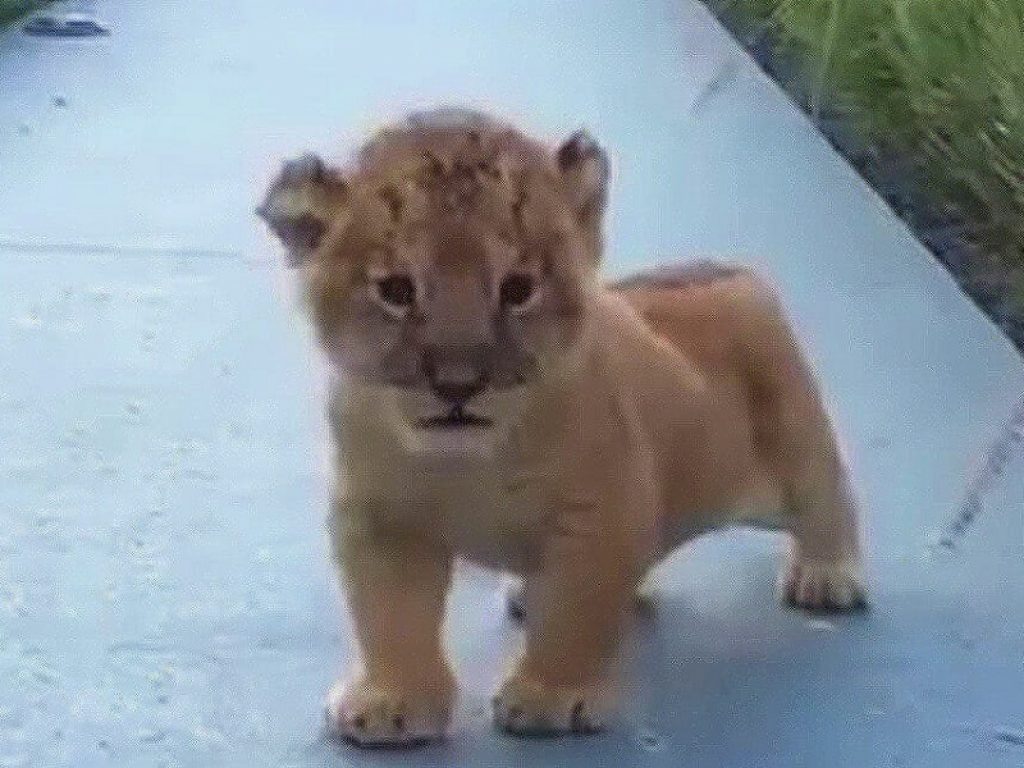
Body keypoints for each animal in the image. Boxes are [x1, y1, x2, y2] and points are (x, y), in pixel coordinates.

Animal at [256, 107, 866, 747]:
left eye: (518, 289)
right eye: (396, 290)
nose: (457, 383)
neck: (466, 461)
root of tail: (725, 266)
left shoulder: (600, 510)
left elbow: (576, 612)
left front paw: (550, 699)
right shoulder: (381, 518)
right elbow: (390, 617)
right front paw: (393, 704)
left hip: (791, 430)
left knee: (827, 495)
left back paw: (826, 577)